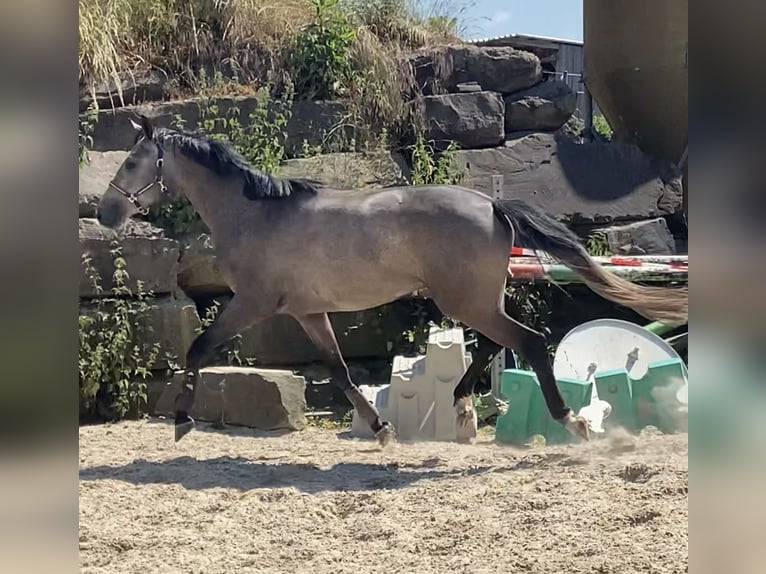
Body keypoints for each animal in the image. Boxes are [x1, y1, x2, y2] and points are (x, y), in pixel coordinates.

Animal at [96, 117, 688, 448]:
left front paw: (180, 421)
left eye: (133, 162)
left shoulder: (254, 302)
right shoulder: (309, 312)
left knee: (531, 343)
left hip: (466, 300)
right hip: (478, 299)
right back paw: (461, 403)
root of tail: (491, 204)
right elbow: (338, 371)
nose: (105, 212)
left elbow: (198, 347)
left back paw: (571, 424)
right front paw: (381, 430)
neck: (255, 215)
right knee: (498, 342)